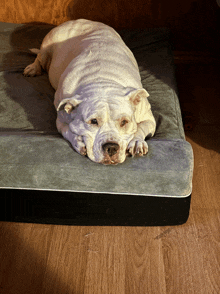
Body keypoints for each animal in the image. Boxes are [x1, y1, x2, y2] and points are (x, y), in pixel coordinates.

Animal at [23, 19, 156, 164]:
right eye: (93, 121)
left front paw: (136, 142)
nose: (111, 147)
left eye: (124, 122)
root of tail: (77, 21)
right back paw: (33, 68)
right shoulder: (60, 121)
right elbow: (68, 130)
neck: (102, 82)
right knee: (39, 57)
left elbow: (141, 127)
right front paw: (78, 142)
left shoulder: (149, 118)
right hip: (47, 47)